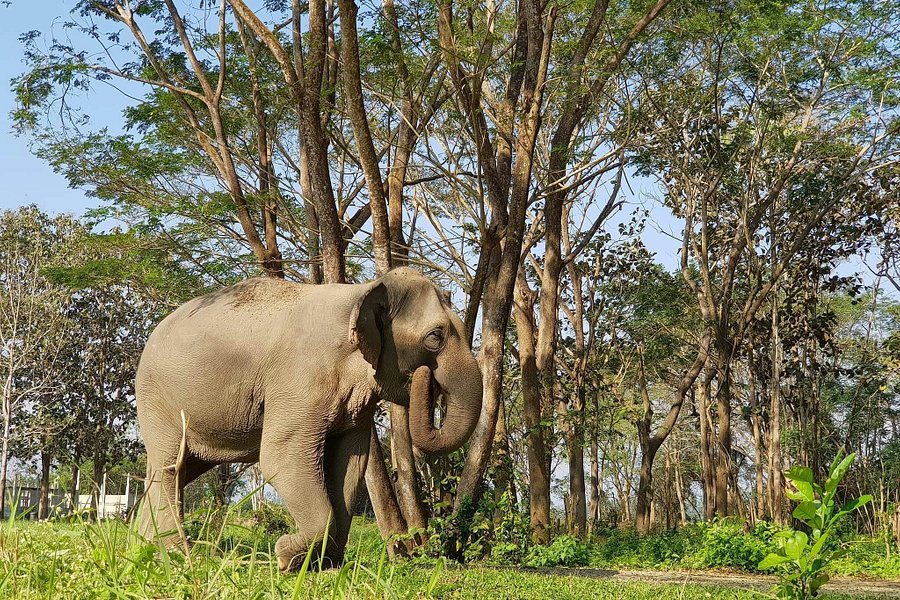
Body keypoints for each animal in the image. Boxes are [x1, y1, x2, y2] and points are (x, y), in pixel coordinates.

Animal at [135, 267, 483, 570]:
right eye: (435, 337)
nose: (426, 378)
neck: (360, 293)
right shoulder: (299, 380)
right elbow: (281, 456)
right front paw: (285, 557)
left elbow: (350, 462)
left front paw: (324, 566)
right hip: (158, 401)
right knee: (170, 468)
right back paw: (175, 556)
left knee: (172, 472)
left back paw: (146, 550)